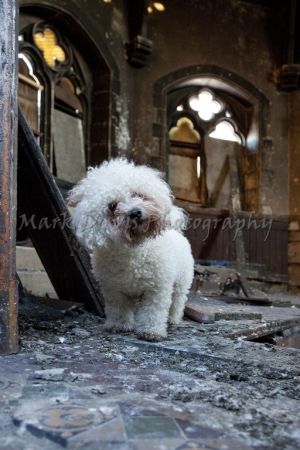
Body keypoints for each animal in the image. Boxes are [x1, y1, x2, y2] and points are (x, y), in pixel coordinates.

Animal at [69, 158, 193, 342]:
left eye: (138, 194)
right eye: (112, 206)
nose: (135, 212)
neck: (133, 252)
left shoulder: (157, 288)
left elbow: (153, 311)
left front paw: (151, 331)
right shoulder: (113, 289)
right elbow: (118, 308)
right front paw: (119, 325)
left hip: (181, 281)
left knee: (177, 301)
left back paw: (173, 319)